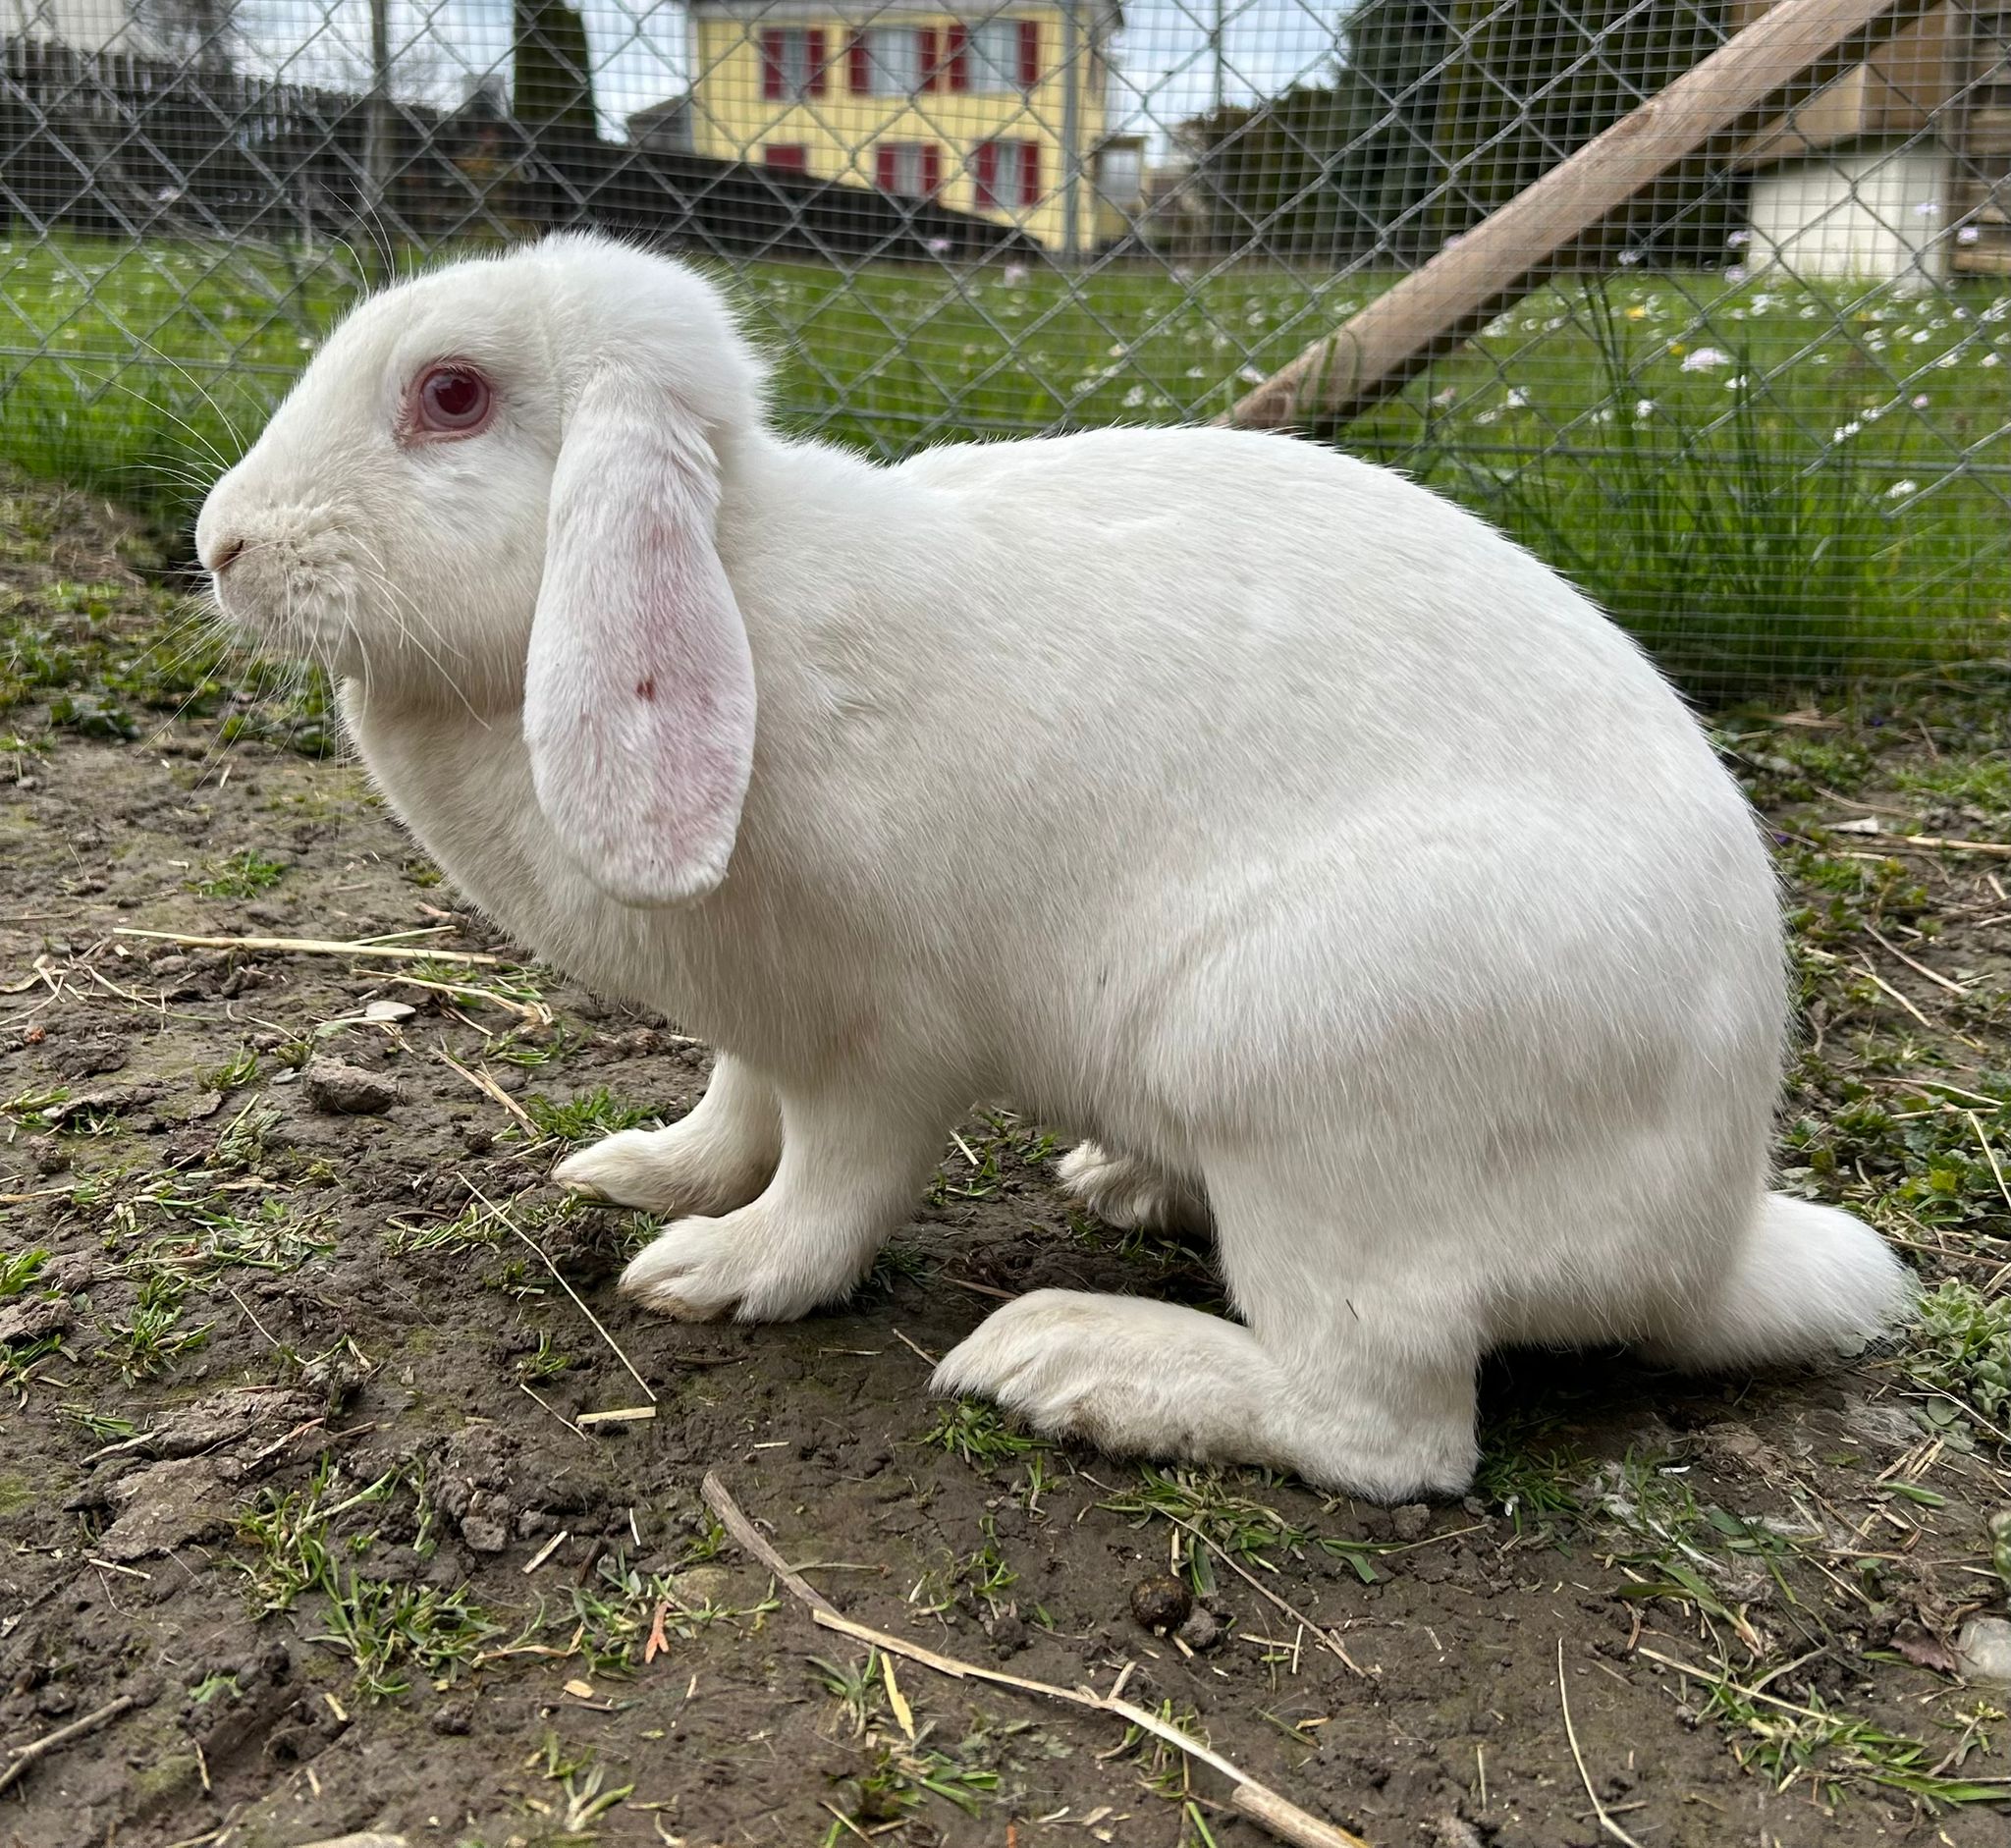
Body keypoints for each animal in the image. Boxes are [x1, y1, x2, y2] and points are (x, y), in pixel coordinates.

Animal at [194, 232, 1913, 1500]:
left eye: (452, 396)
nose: (221, 542)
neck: (740, 587)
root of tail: (1703, 1240)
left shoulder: (883, 1040)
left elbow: (835, 1187)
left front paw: (716, 1270)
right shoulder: (759, 1016)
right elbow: (733, 1110)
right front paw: (643, 1172)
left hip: (1308, 1083)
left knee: (1386, 1427)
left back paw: (1070, 1361)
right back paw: (1123, 1186)